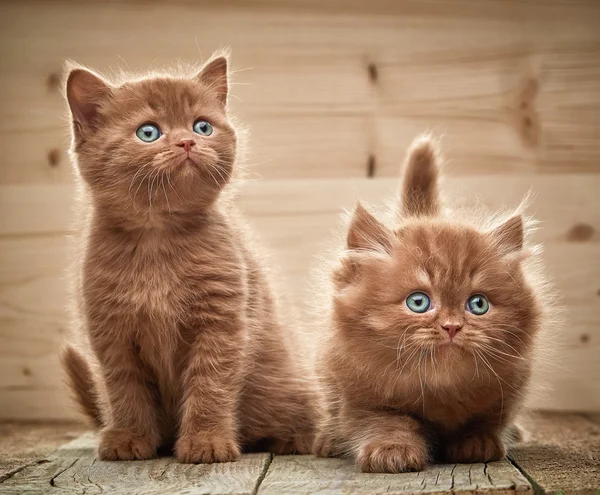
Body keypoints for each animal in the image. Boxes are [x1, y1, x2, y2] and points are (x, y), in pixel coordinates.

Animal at [59, 55, 318, 464]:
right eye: (148, 132)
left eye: (203, 126)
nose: (187, 140)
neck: (157, 241)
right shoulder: (111, 332)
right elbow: (124, 389)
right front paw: (129, 438)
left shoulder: (220, 324)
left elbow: (209, 386)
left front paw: (206, 443)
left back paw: (294, 439)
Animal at [314, 135, 552, 472]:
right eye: (418, 302)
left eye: (478, 305)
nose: (452, 326)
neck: (440, 389)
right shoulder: (360, 397)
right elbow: (387, 422)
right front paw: (393, 450)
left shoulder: (509, 387)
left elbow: (486, 419)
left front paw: (477, 443)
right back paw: (329, 440)